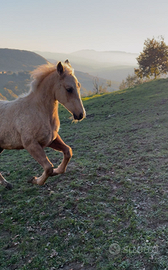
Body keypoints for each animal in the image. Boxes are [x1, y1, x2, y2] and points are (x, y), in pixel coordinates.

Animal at [0, 59, 85, 189]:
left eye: (79, 86)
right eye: (69, 89)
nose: (80, 114)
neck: (38, 110)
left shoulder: (51, 139)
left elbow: (67, 152)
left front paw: (57, 171)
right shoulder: (31, 145)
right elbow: (49, 167)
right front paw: (34, 180)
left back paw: (7, 184)